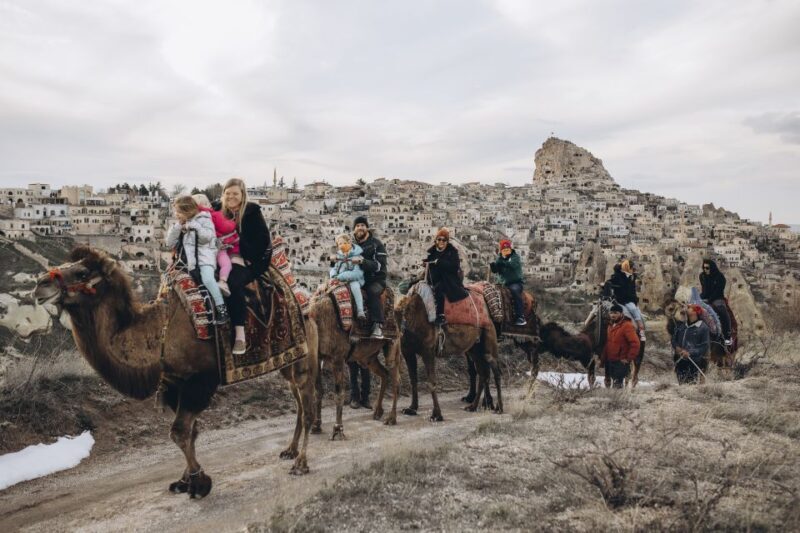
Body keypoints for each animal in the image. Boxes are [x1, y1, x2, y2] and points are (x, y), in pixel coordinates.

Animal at [33, 246, 318, 498]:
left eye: (82, 272)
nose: (40, 284)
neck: (160, 332)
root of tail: (301, 295)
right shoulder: (174, 382)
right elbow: (190, 432)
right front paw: (184, 481)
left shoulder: (201, 381)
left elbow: (179, 432)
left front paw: (200, 483)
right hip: (288, 363)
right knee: (299, 403)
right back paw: (290, 451)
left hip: (305, 358)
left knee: (307, 406)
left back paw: (301, 463)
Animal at [307, 294, 401, 440]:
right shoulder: (318, 356)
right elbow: (318, 391)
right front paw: (316, 426)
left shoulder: (337, 358)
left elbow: (339, 393)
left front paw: (338, 430)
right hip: (367, 357)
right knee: (384, 373)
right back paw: (377, 412)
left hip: (393, 343)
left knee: (395, 377)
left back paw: (391, 418)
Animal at [397, 291, 502, 421]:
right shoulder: (407, 351)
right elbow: (413, 380)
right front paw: (411, 408)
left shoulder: (428, 351)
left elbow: (431, 381)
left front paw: (436, 415)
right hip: (474, 349)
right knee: (483, 374)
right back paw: (473, 406)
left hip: (488, 340)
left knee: (494, 370)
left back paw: (496, 408)